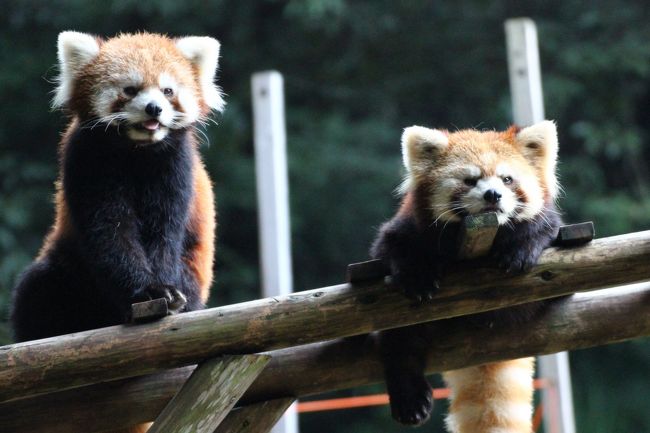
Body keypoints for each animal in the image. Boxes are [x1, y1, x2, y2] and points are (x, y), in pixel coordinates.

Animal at [10, 32, 220, 348]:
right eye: (130, 90)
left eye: (168, 90)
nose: (154, 108)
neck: (137, 151)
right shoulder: (87, 159)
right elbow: (110, 231)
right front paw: (147, 291)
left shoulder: (176, 167)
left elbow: (164, 233)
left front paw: (165, 291)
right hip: (69, 269)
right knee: (36, 288)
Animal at [370, 120, 560, 428]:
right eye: (470, 181)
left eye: (507, 179)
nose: (493, 194)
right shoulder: (405, 230)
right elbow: (395, 247)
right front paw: (417, 277)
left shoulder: (547, 222)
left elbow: (540, 228)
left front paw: (520, 250)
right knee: (399, 342)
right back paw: (410, 400)